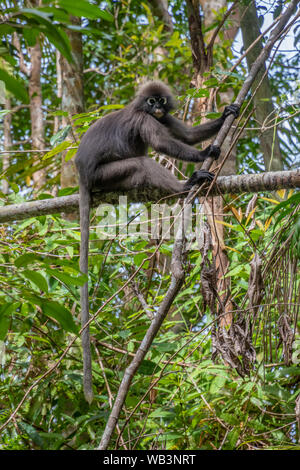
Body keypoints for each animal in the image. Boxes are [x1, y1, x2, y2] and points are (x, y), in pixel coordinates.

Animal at [74, 80, 239, 400]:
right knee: (141, 164)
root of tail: (83, 175)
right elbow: (165, 144)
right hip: (105, 175)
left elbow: (186, 134)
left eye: (161, 100)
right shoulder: (144, 120)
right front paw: (204, 153)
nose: (157, 107)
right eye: (150, 102)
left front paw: (228, 112)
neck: (146, 111)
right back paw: (185, 186)